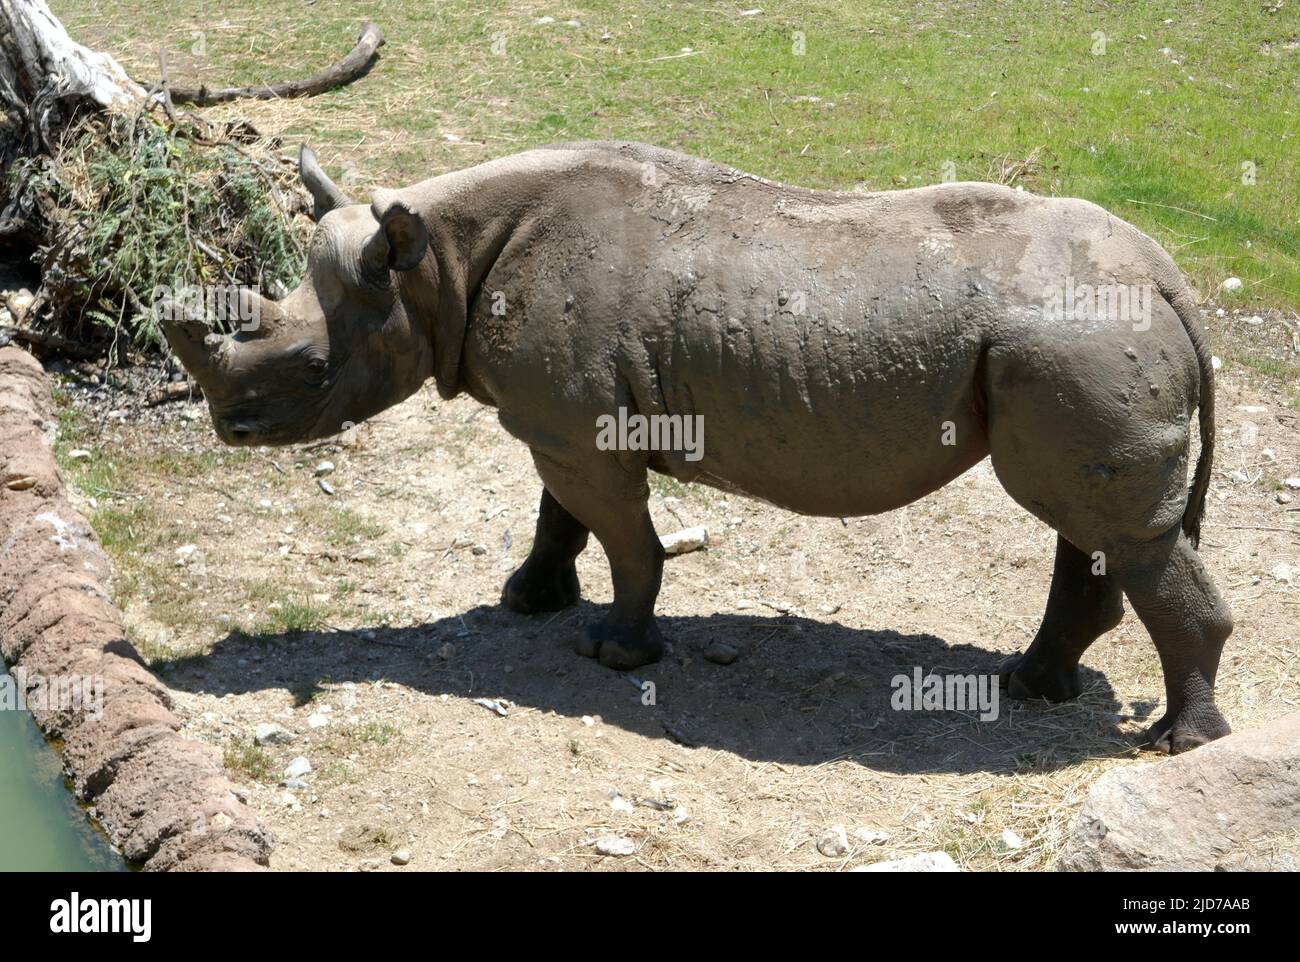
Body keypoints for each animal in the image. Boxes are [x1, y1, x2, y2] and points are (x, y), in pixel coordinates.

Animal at [161, 141, 1233, 755]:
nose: (228, 428)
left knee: (1113, 530)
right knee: (1089, 522)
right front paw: (526, 599)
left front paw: (614, 652)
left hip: (1075, 341)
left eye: (310, 368)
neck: (439, 269)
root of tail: (1169, 279)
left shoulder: (581, 428)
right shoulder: (565, 416)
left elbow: (624, 537)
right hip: (1072, 346)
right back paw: (1035, 686)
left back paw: (1179, 744)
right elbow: (558, 516)